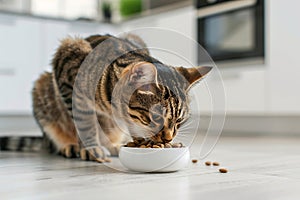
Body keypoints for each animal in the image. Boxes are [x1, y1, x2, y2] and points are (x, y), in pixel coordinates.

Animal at [3, 34, 212, 162]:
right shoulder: (69, 67)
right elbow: (85, 123)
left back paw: (113, 146)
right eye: (156, 118)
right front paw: (90, 148)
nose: (169, 138)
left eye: (180, 121)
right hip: (42, 89)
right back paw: (70, 146)